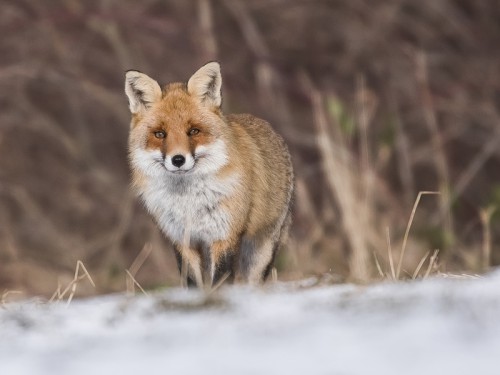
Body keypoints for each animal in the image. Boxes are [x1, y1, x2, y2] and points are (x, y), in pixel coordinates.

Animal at [123, 62, 292, 288]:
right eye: (159, 134)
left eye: (194, 131)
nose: (178, 160)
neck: (188, 201)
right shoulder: (183, 239)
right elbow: (193, 282)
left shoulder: (224, 236)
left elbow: (220, 279)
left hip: (260, 251)